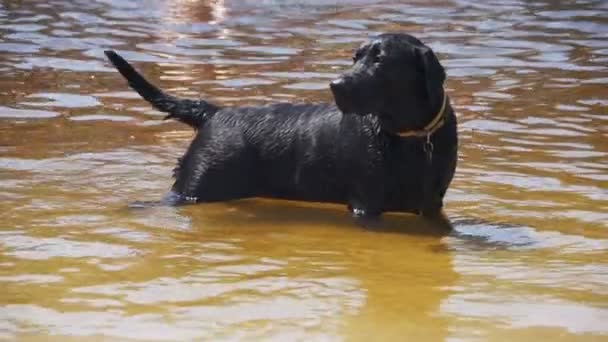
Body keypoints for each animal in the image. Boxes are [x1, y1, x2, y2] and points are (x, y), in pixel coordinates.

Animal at [105, 33, 456, 220]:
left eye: (380, 60)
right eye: (356, 57)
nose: (335, 85)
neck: (411, 137)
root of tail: (216, 113)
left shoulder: (432, 203)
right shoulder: (365, 203)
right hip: (195, 185)